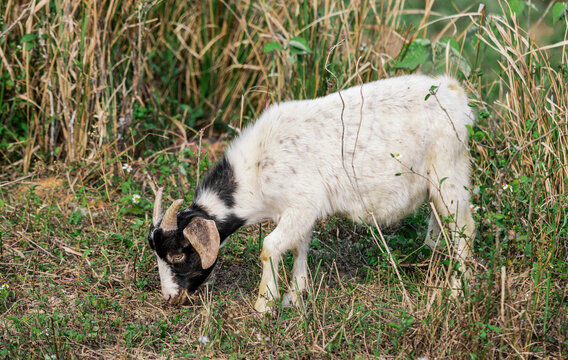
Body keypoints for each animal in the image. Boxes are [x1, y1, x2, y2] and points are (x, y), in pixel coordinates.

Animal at [149, 74, 478, 312]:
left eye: (179, 254)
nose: (170, 298)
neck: (256, 168)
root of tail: (454, 92)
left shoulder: (301, 206)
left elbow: (269, 246)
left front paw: (265, 304)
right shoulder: (299, 211)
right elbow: (299, 247)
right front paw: (294, 296)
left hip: (449, 174)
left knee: (465, 229)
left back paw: (456, 293)